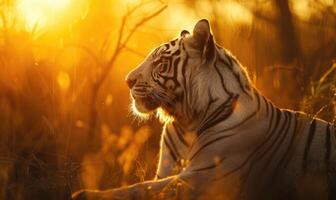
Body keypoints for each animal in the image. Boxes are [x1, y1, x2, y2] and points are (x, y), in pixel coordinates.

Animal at [73, 19, 336, 200]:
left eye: (160, 63)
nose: (127, 81)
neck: (187, 120)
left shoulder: (205, 176)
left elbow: (141, 189)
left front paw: (86, 194)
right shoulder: (167, 171)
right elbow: (144, 186)